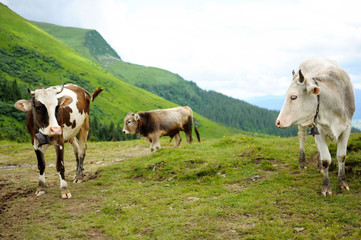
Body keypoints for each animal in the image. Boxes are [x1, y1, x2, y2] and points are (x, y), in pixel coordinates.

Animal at [276, 57, 354, 196]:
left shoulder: (347, 128)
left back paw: (320, 167)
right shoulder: (320, 129)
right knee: (302, 137)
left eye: (293, 96)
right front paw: (326, 187)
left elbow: (341, 156)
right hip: (303, 124)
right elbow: (326, 159)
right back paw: (302, 163)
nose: (278, 122)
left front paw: (343, 182)